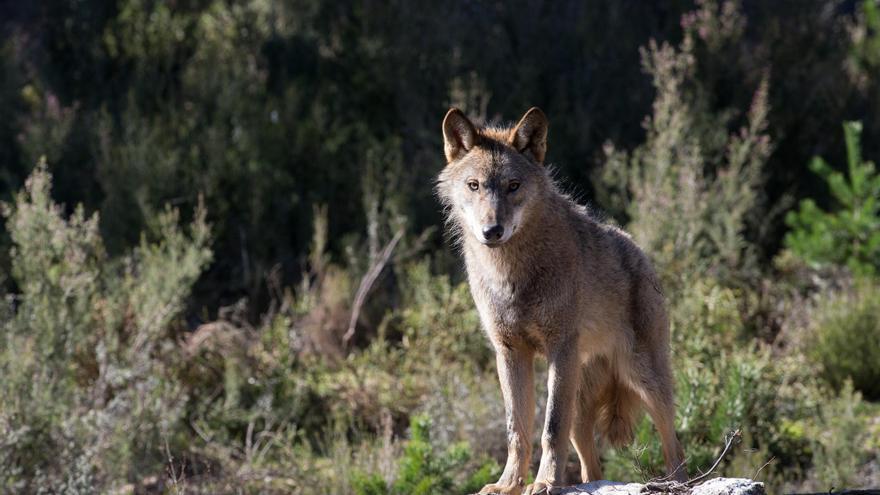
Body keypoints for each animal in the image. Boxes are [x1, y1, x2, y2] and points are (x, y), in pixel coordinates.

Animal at [434, 106, 688, 494]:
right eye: (474, 185)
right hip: (581, 407)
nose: (492, 231)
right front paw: (508, 484)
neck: (512, 274)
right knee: (590, 468)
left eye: (513, 186)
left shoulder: (560, 347)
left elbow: (550, 428)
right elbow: (517, 431)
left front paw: (545, 482)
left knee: (674, 446)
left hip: (643, 379)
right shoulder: (509, 353)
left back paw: (677, 482)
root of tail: (640, 252)